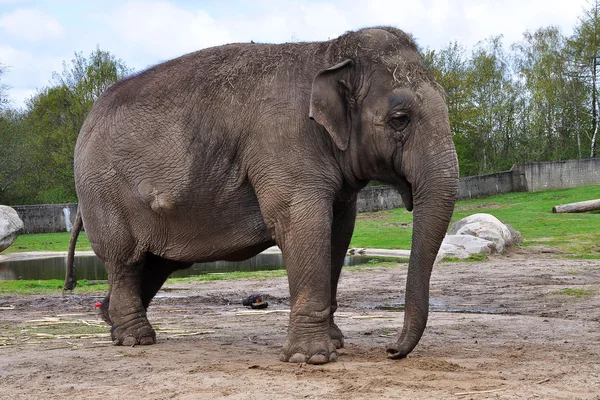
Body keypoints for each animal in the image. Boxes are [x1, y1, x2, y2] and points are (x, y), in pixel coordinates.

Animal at [65, 26, 458, 364]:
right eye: (400, 118)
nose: (391, 350)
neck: (329, 51)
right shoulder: (283, 146)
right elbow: (302, 224)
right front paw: (312, 358)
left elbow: (338, 231)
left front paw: (334, 345)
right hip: (104, 193)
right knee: (125, 260)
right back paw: (136, 338)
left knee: (156, 263)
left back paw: (111, 323)